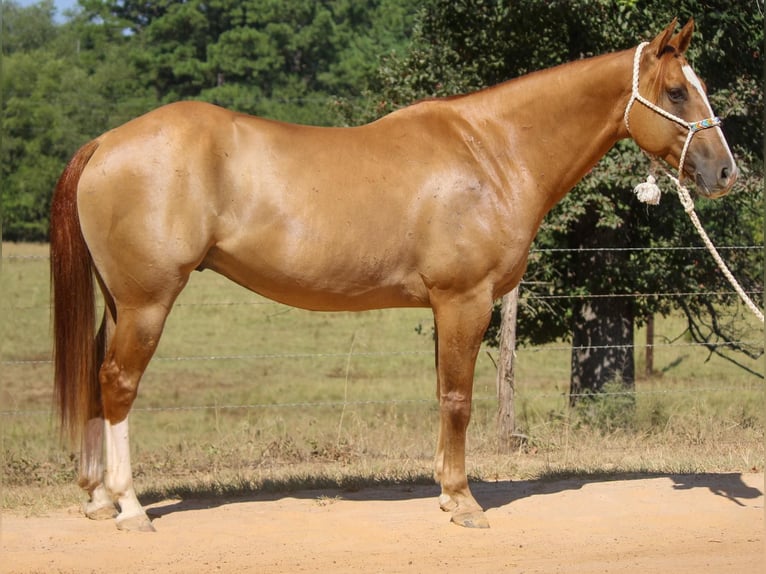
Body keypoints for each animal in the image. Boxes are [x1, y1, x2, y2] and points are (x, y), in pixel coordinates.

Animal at [48, 19, 736, 536]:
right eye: (678, 92)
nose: (727, 172)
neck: (493, 151)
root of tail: (107, 142)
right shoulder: (465, 301)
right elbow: (458, 398)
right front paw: (463, 502)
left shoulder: (445, 306)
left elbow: (442, 394)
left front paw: (444, 492)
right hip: (148, 302)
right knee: (118, 384)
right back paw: (129, 507)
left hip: (120, 302)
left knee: (97, 378)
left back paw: (98, 499)